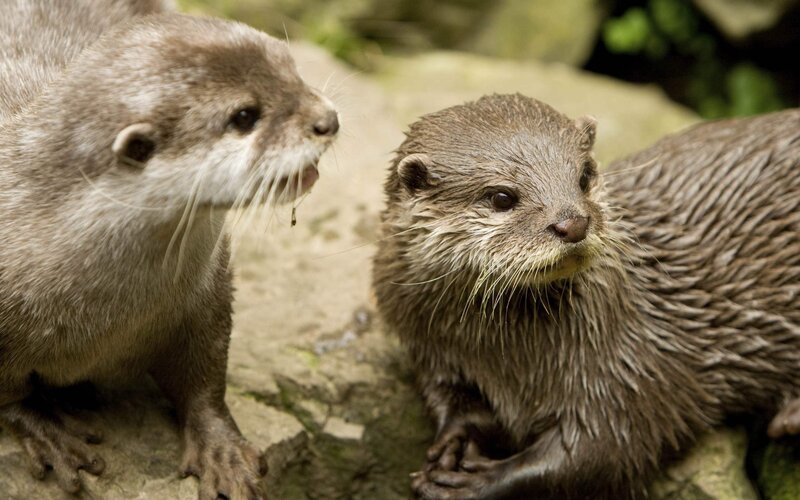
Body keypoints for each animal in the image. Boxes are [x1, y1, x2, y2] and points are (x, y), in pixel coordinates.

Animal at [0, 2, 338, 498]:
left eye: (290, 66)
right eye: (244, 115)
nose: (328, 119)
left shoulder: (206, 294)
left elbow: (205, 374)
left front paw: (222, 450)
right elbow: (9, 392)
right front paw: (48, 434)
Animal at [373, 94, 800, 499]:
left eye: (583, 176)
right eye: (501, 197)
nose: (573, 223)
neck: (505, 358)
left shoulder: (627, 365)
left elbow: (604, 452)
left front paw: (478, 482)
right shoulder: (430, 350)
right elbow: (452, 401)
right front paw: (454, 443)